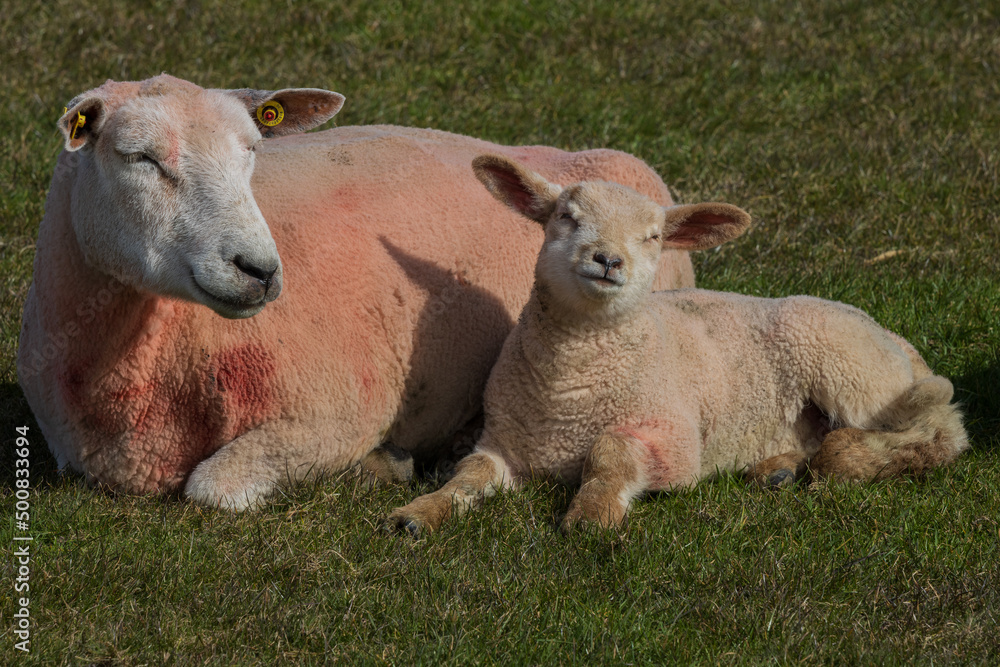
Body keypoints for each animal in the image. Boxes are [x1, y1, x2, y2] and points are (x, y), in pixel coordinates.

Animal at [17, 75, 697, 510]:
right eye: (140, 158)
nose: (260, 270)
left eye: (253, 151)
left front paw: (382, 463)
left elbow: (210, 490)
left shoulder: (335, 414)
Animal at [386, 154, 969, 535]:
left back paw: (850, 457)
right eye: (565, 217)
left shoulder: (676, 440)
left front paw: (591, 517)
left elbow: (611, 451)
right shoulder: (502, 443)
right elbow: (467, 476)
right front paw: (420, 513)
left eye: (654, 237)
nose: (607, 259)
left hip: (852, 368)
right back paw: (777, 468)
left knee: (940, 430)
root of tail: (894, 340)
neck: (567, 394)